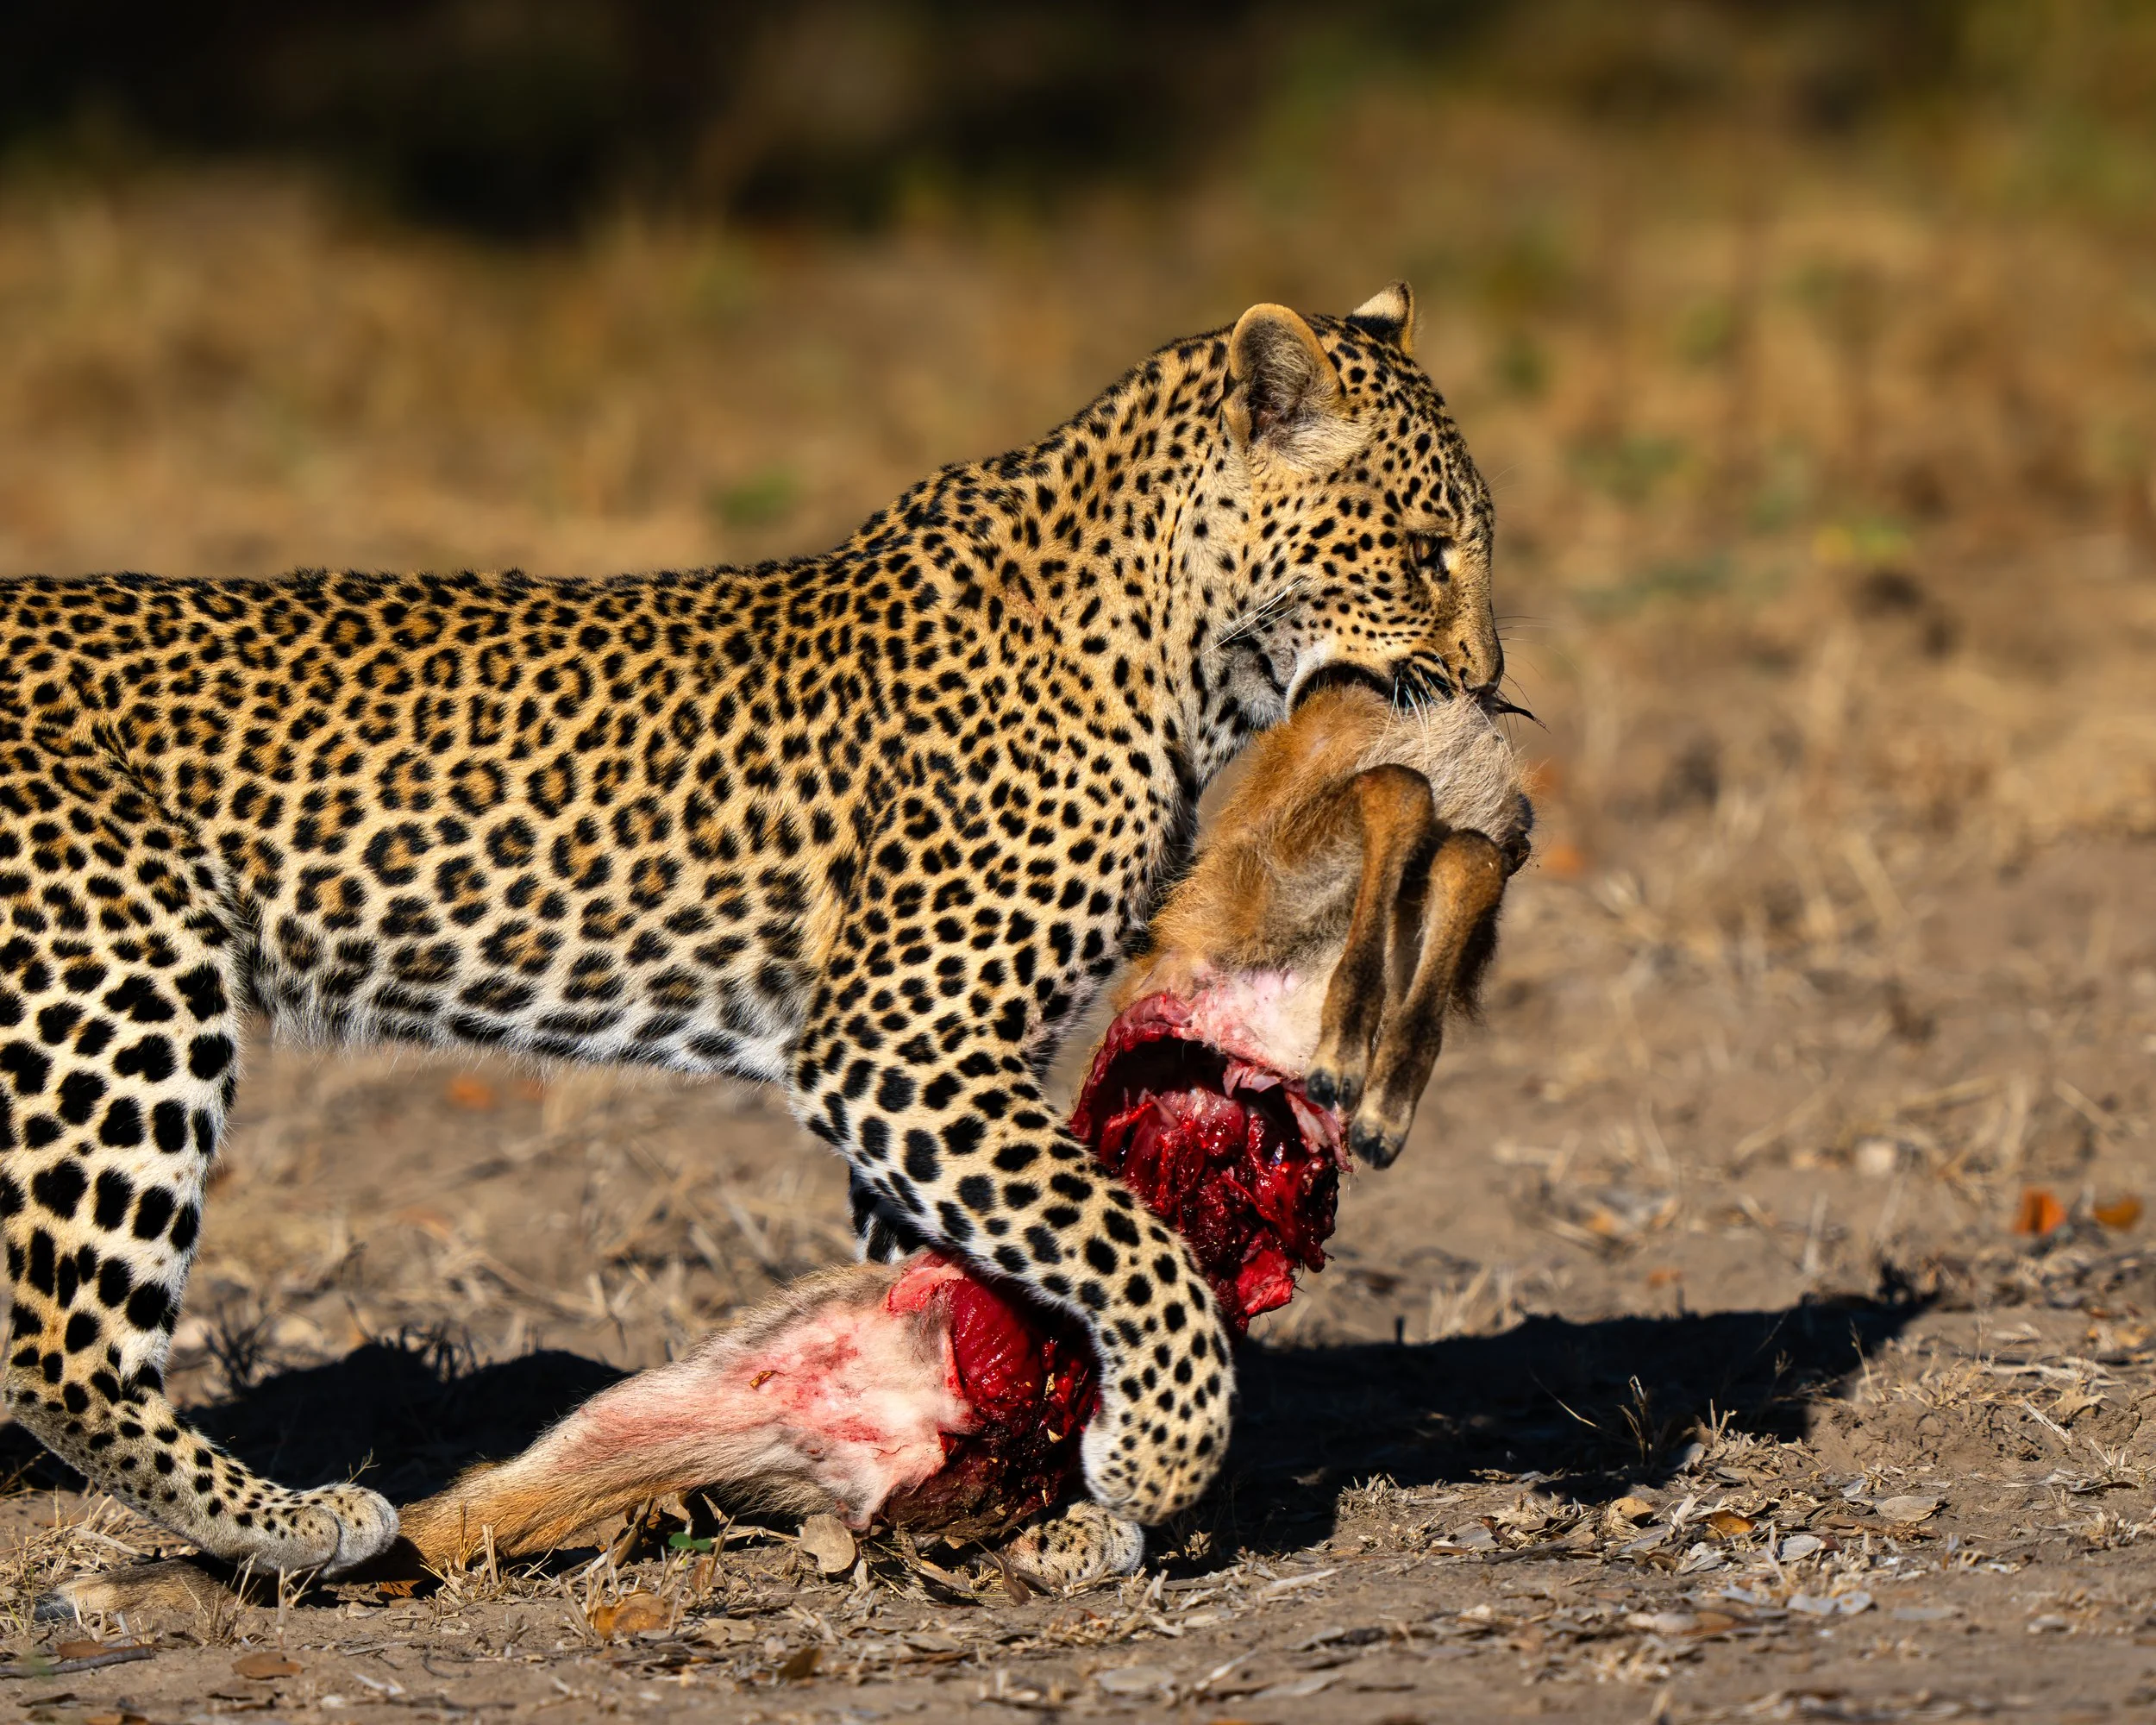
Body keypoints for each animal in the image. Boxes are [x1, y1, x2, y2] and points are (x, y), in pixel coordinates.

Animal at [0, 280, 1502, 1578]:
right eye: (1425, 552)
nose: (1486, 681)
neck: (1176, 651)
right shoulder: (899, 1039)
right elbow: (1131, 1242)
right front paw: (1157, 1456)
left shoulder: (945, 1074)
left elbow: (979, 1268)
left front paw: (1000, 1471)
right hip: (124, 984)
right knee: (59, 1341)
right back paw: (299, 1520)